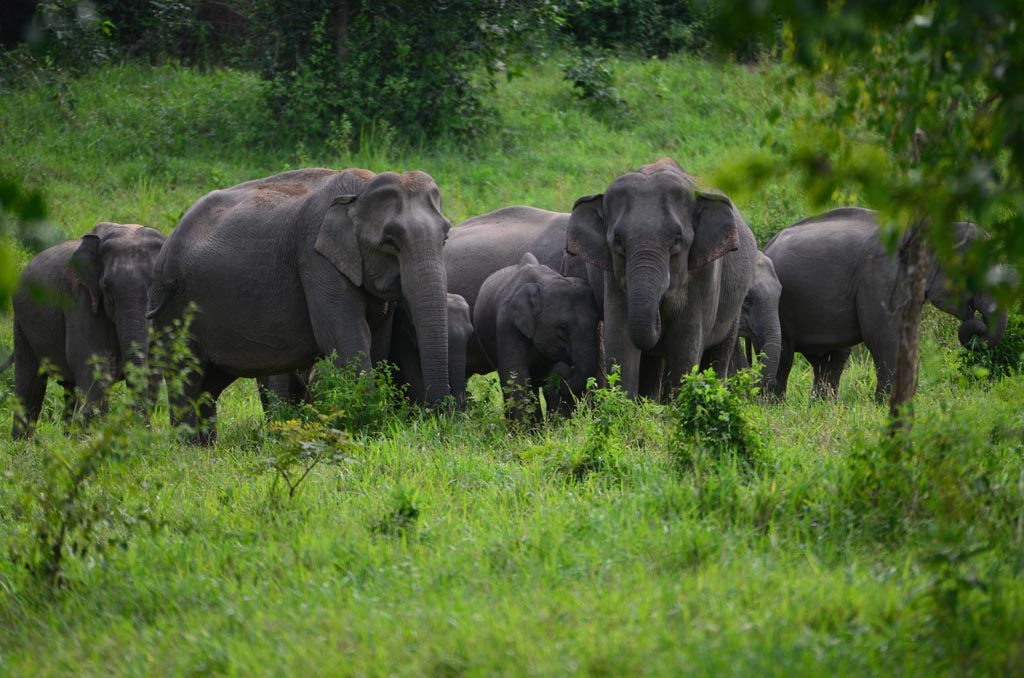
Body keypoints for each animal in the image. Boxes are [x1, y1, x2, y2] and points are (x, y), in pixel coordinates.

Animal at [6, 220, 165, 438]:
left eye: (155, 284)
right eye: (106, 289)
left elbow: (155, 367)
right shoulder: (80, 299)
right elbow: (92, 364)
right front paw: (92, 439)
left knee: (68, 389)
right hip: (21, 323)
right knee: (30, 384)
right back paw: (21, 442)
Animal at [149, 168, 454, 446]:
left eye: (446, 235)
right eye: (390, 241)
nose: (436, 418)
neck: (360, 190)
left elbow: (376, 340)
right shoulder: (316, 260)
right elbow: (346, 336)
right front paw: (371, 426)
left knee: (210, 384)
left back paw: (207, 446)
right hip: (175, 309)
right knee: (186, 374)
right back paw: (191, 449)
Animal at [471, 251, 598, 417]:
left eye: (597, 322)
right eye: (563, 328)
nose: (564, 366)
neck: (544, 281)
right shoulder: (508, 324)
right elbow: (515, 376)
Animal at [565, 157, 757, 403]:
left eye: (677, 240)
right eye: (618, 240)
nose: (659, 313)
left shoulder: (705, 272)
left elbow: (685, 341)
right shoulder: (613, 275)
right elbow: (620, 338)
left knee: (718, 352)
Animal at [761, 204, 1007, 401]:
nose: (977, 326)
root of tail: (768, 244)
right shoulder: (879, 278)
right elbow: (884, 336)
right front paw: (886, 404)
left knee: (832, 359)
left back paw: (823, 406)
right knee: (785, 354)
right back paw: (775, 405)